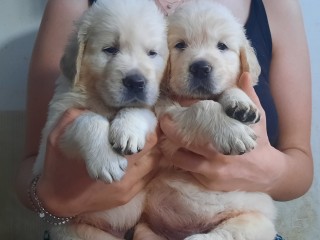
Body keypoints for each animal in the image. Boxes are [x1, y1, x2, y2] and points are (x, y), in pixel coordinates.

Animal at [32, 0, 168, 239]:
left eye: (152, 53)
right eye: (110, 49)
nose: (136, 82)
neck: (104, 103)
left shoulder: (151, 108)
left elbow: (138, 110)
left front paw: (128, 131)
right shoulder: (55, 125)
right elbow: (88, 119)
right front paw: (107, 160)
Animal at [136, 0, 278, 239]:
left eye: (222, 46)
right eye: (180, 45)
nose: (200, 68)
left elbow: (229, 88)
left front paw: (242, 104)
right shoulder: (168, 122)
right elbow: (204, 107)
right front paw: (233, 132)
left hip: (256, 220)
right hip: (144, 229)